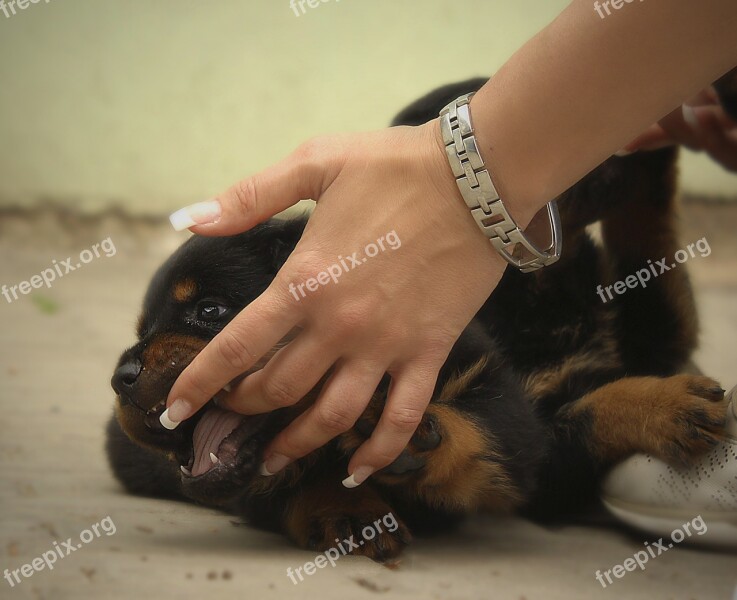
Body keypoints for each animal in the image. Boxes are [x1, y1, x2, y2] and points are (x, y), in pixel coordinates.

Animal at [106, 76, 732, 564]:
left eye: (209, 311)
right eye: (145, 330)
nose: (122, 376)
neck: (535, 296)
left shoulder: (529, 419)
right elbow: (294, 483)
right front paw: (350, 506)